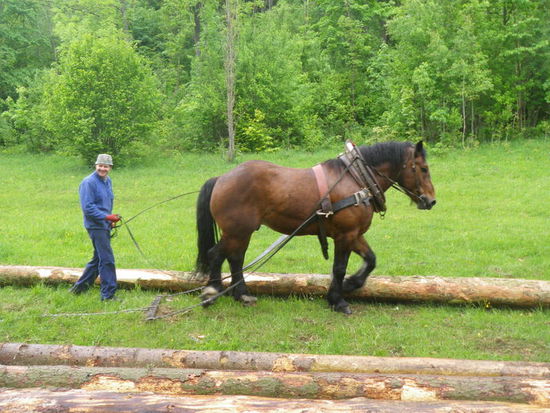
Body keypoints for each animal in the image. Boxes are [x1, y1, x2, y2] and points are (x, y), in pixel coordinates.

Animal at [196, 140, 438, 314]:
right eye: (424, 169)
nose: (431, 201)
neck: (357, 179)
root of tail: (222, 178)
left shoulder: (354, 234)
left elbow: (370, 260)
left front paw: (351, 284)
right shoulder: (345, 235)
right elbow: (339, 268)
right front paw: (338, 300)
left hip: (241, 233)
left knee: (235, 258)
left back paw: (241, 294)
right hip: (236, 231)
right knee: (216, 254)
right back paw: (212, 291)